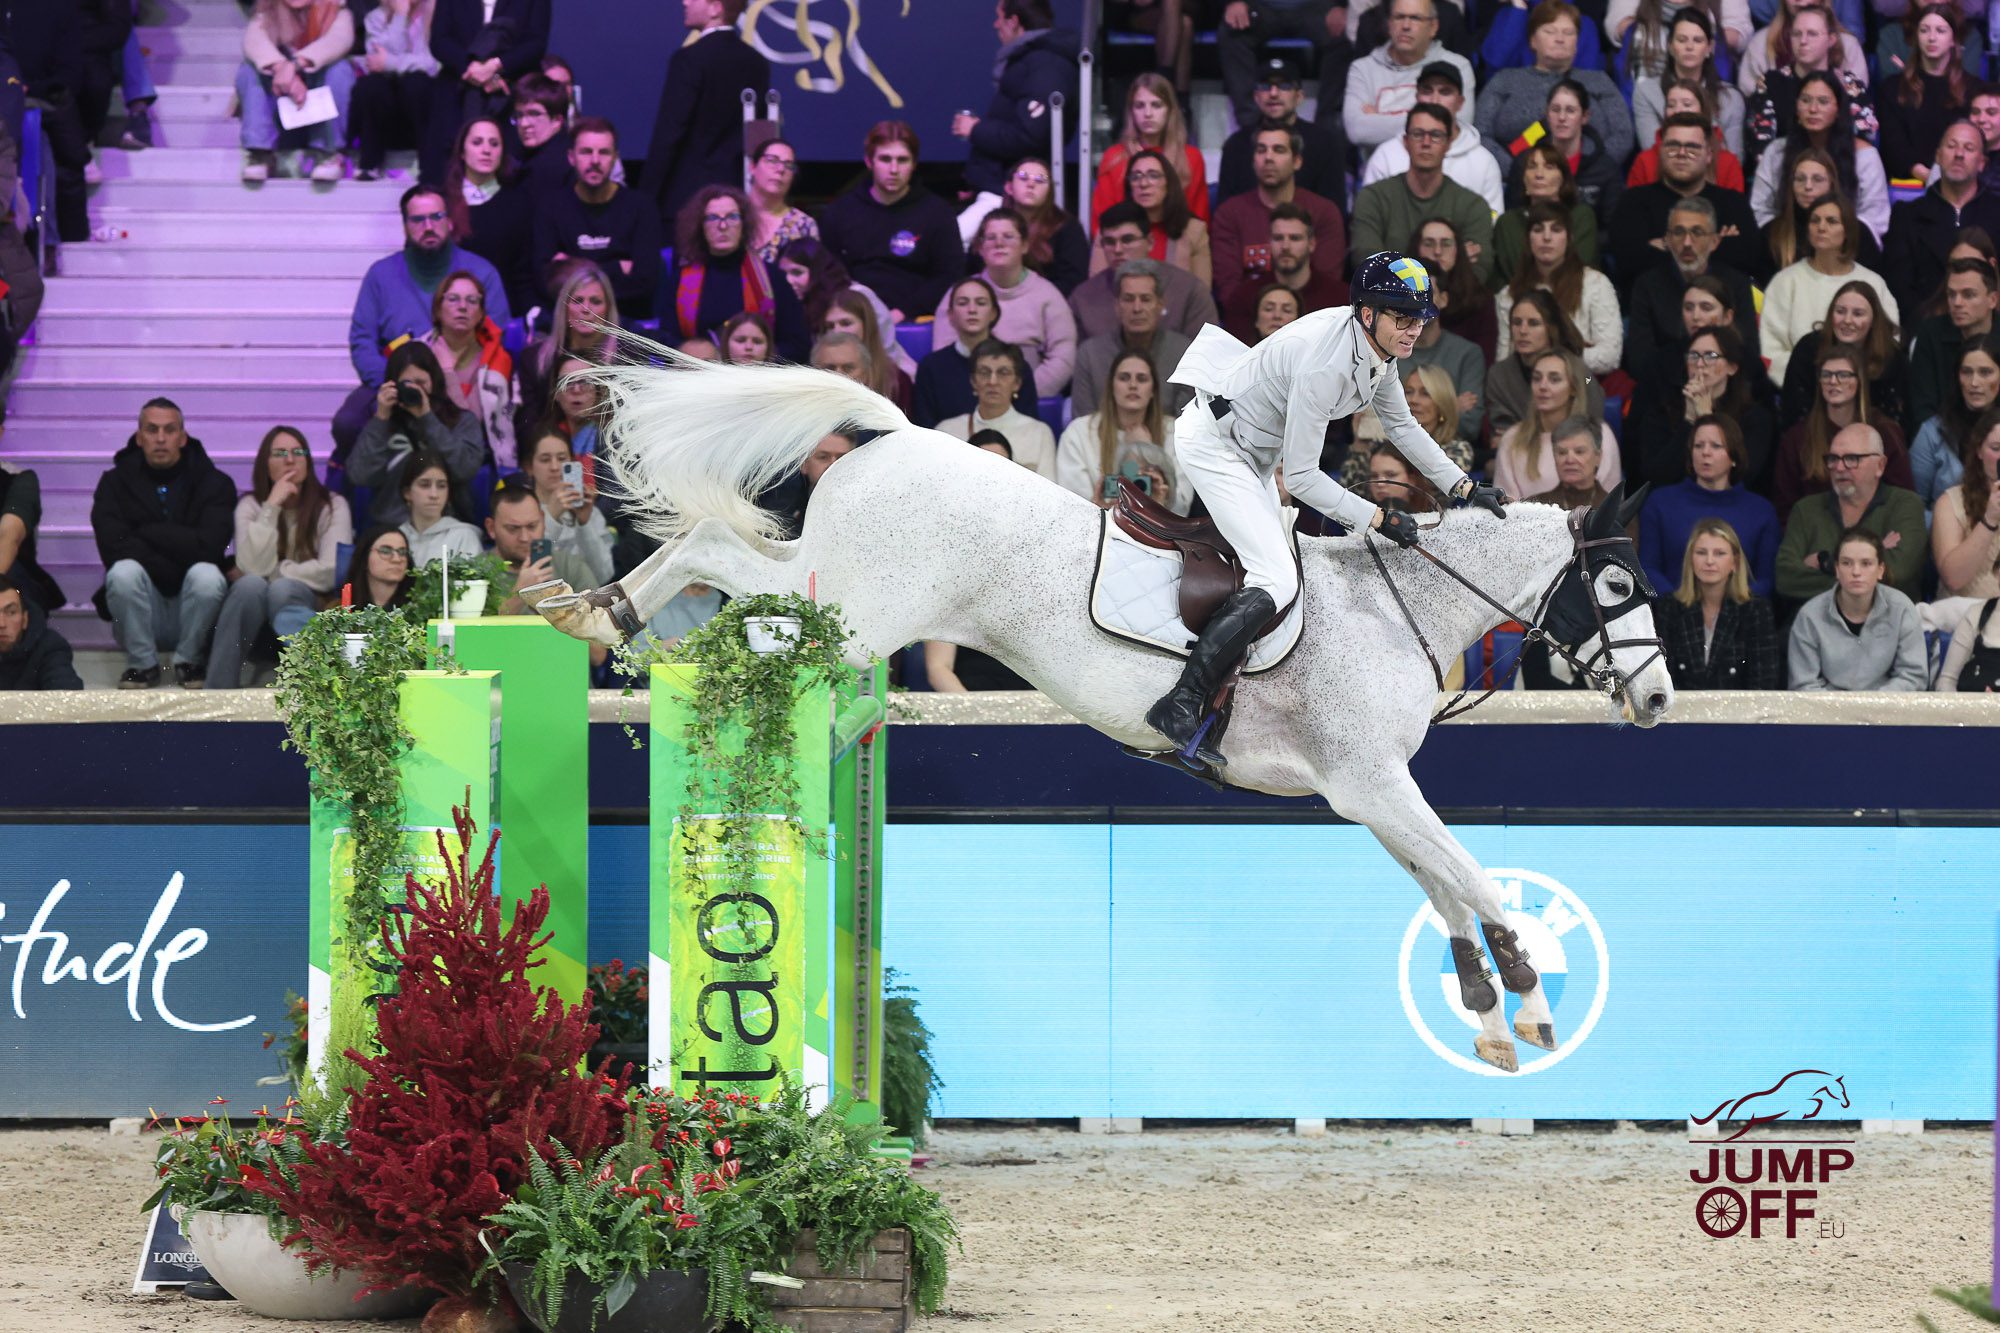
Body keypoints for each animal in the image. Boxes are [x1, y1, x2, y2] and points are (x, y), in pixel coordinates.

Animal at [525, 349, 1678, 1073]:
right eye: (1618, 587)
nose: (1663, 698)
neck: (1395, 605)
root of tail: (896, 435)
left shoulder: (1370, 795)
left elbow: (1444, 887)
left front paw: (1491, 1021)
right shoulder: (1371, 783)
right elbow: (1476, 879)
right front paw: (1534, 1006)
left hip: (834, 594)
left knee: (719, 552)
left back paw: (595, 611)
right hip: (849, 604)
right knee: (723, 551)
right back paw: (610, 620)